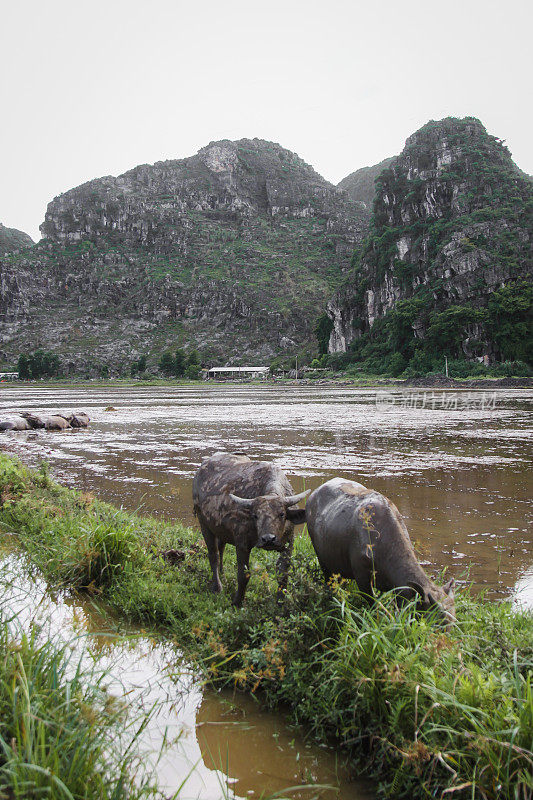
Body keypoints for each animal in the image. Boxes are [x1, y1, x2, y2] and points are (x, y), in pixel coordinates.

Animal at [191, 450, 308, 608]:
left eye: (282, 514)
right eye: (255, 515)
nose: (268, 539)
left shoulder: (289, 542)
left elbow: (283, 574)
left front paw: (280, 602)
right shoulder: (242, 544)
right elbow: (243, 575)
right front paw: (237, 601)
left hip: (220, 529)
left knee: (221, 549)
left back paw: (222, 574)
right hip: (204, 524)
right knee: (213, 555)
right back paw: (217, 586)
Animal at [306, 478, 456, 628]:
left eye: (454, 621)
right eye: (438, 623)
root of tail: (313, 496)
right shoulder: (363, 579)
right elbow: (374, 603)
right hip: (323, 562)